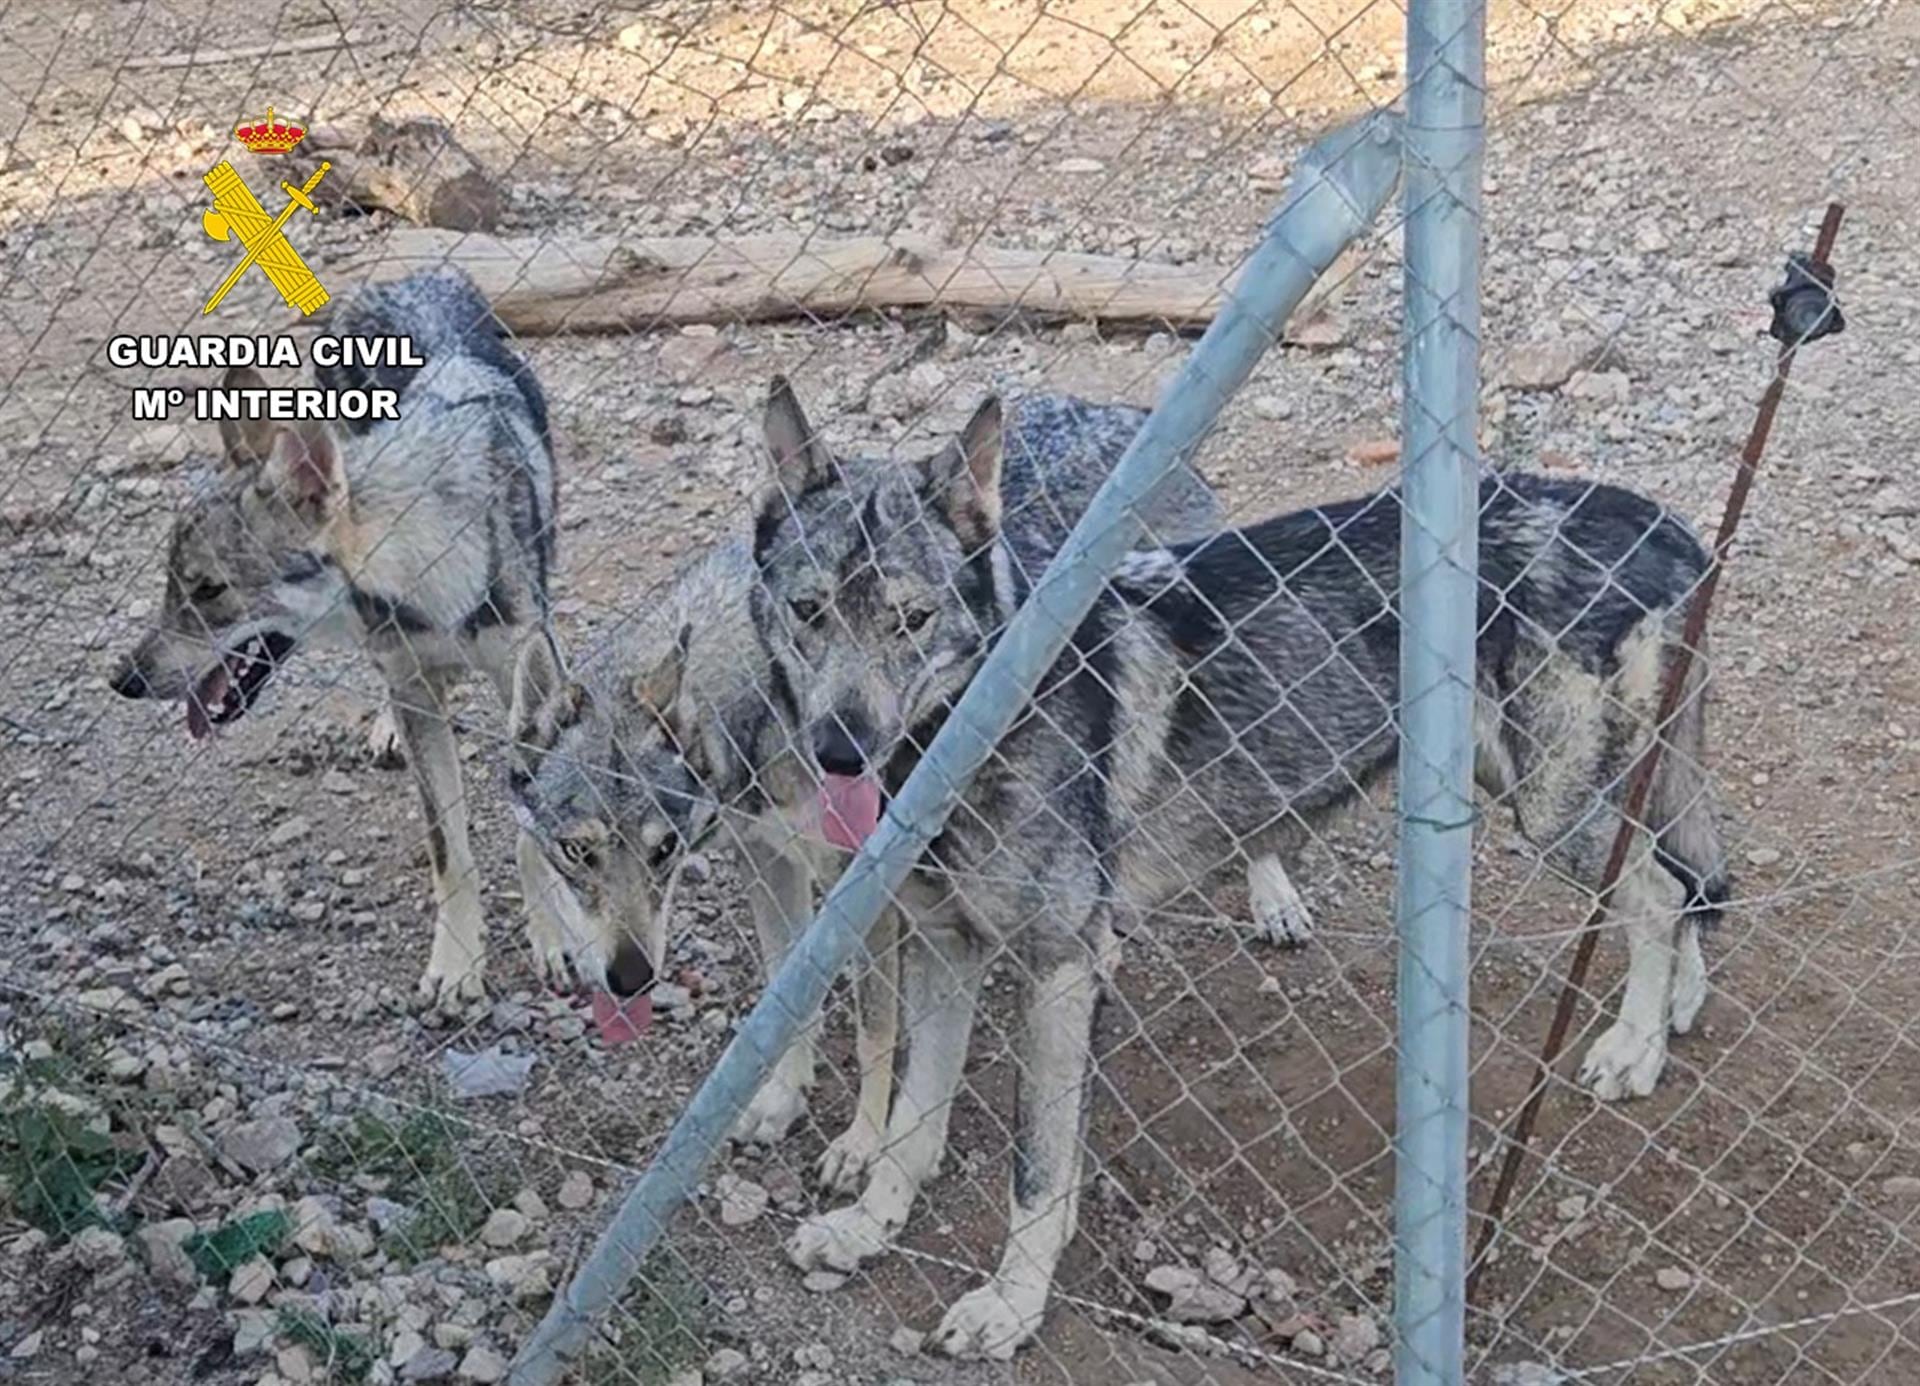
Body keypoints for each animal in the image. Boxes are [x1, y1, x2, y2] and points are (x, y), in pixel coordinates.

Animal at [111, 266, 568, 1005]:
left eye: (208, 590)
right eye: (170, 585)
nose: (122, 679)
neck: (429, 577)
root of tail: (409, 275)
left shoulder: (526, 678)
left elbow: (533, 825)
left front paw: (553, 938)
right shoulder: (410, 681)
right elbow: (449, 848)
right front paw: (457, 965)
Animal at [503, 385, 1274, 1190]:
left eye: (662, 852)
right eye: (576, 853)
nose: (628, 979)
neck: (766, 710)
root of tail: (1111, 408)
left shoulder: (866, 897)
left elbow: (878, 1032)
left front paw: (863, 1145)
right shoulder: (767, 862)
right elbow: (787, 996)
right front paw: (782, 1096)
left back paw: (1273, 899)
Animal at [744, 378, 1728, 1351]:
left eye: (911, 622)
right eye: (809, 611)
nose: (838, 753)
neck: (974, 722)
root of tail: (1655, 516)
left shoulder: (1059, 968)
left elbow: (1038, 1166)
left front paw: (1011, 1305)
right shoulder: (947, 950)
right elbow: (912, 1121)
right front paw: (868, 1229)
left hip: (1552, 809)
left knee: (1658, 893)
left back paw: (1634, 1048)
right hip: (1550, 789)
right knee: (1686, 880)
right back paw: (1676, 1007)